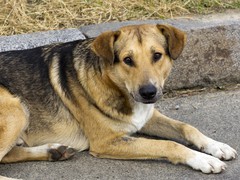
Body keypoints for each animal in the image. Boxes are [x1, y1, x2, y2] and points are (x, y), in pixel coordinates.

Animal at [0, 24, 236, 179]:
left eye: (157, 55)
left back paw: (54, 151)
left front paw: (217, 146)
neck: (115, 85)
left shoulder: (146, 116)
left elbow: (187, 128)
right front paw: (202, 159)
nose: (148, 93)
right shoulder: (106, 142)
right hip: (16, 109)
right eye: (127, 60)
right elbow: (168, 144)